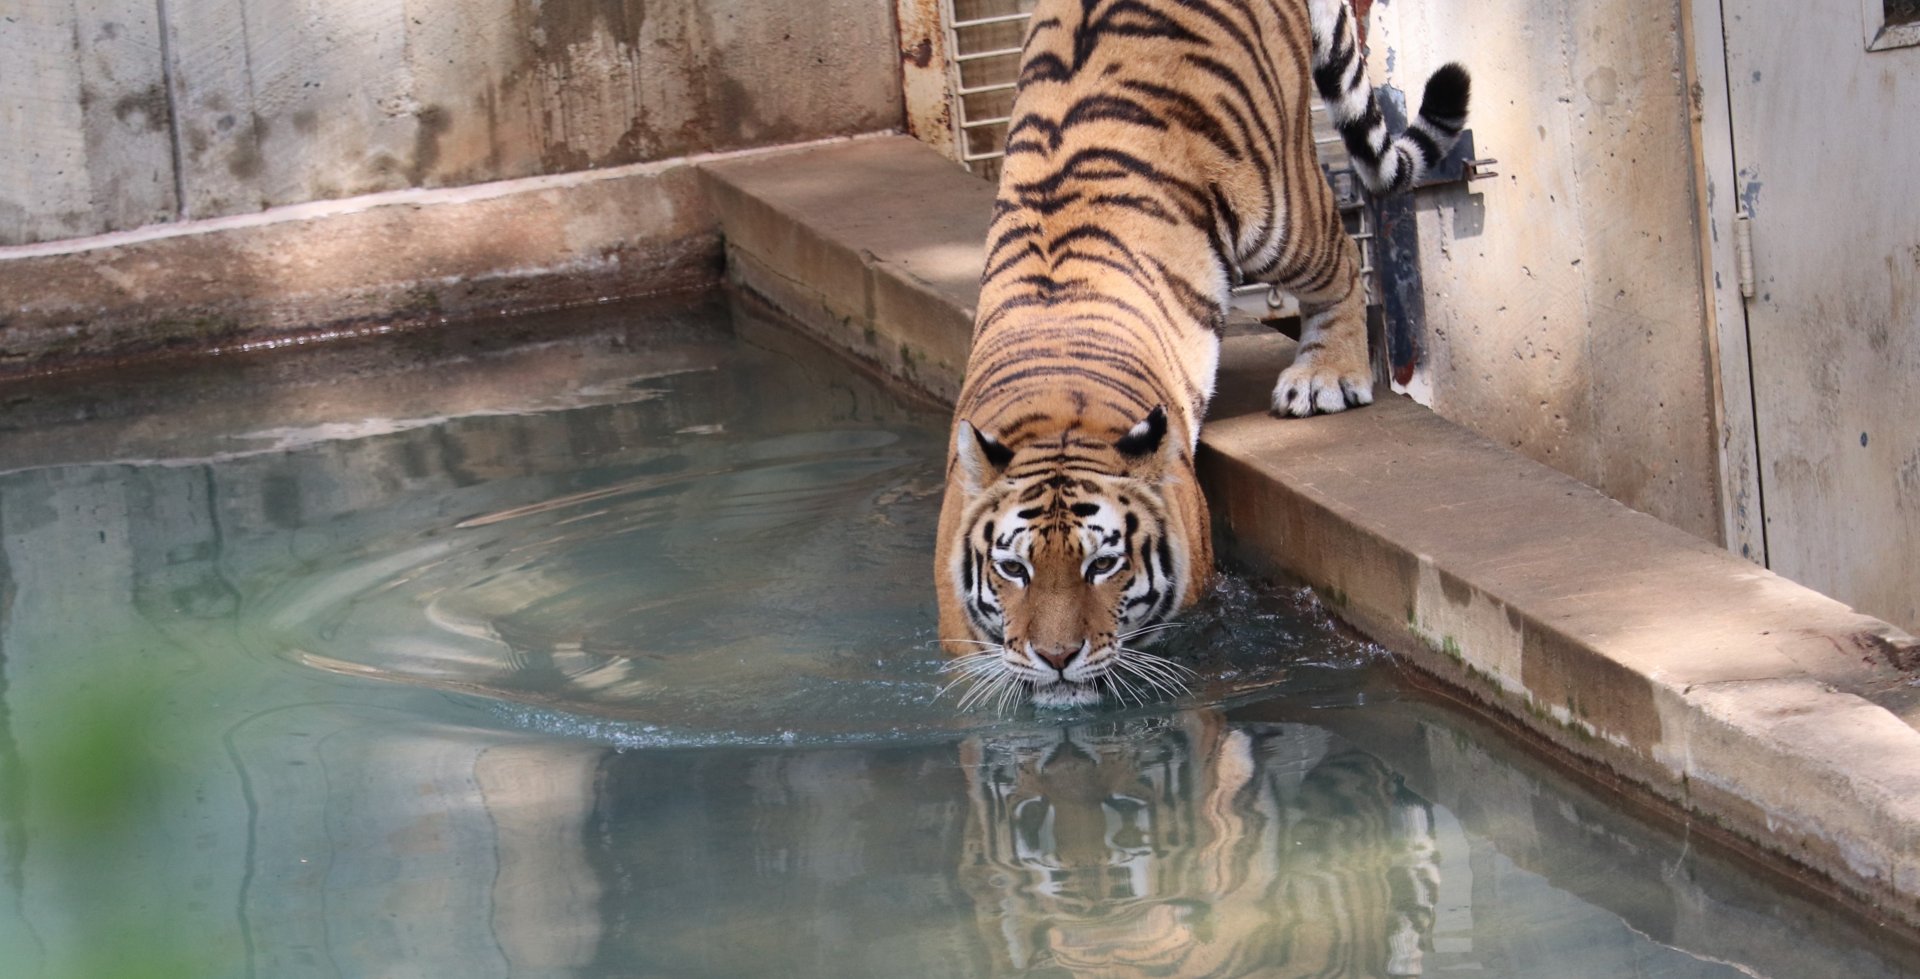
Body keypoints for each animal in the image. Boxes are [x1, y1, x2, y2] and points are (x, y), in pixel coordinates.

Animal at [935, 0, 1470, 708]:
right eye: (1013, 569)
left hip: (1277, 207)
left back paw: (1324, 378)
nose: (1056, 656)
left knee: (1342, 257)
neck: (1058, 416)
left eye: (1103, 564)